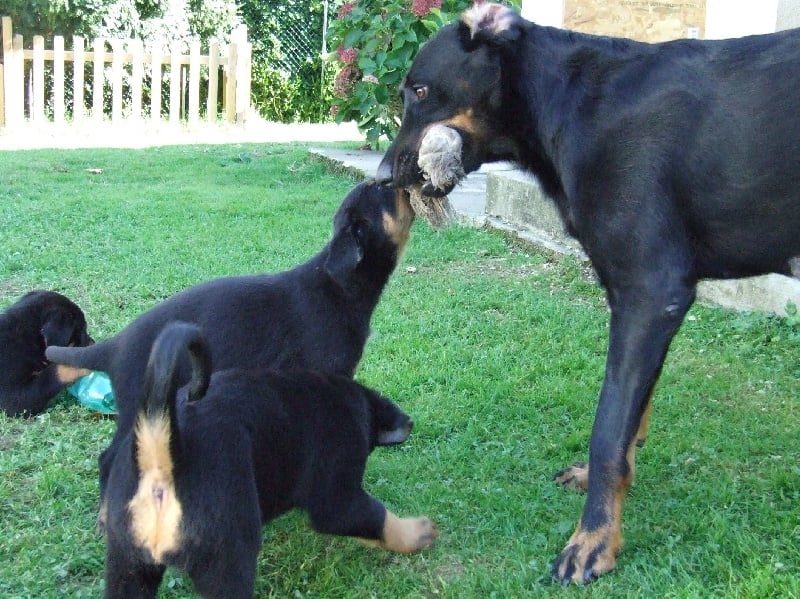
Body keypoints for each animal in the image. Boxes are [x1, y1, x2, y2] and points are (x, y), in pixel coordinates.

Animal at [47, 180, 416, 528]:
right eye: (382, 190)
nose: (401, 178)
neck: (340, 288)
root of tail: (115, 345)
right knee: (108, 458)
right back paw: (106, 516)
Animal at [104, 324, 440, 599]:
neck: (344, 396)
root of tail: (163, 458)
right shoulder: (336, 496)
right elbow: (376, 518)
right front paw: (419, 532)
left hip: (127, 565)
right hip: (228, 557)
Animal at [378, 2, 800, 584]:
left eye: (419, 90)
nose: (381, 177)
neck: (565, 102)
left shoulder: (650, 291)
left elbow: (608, 431)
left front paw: (594, 540)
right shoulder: (641, 300)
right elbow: (632, 419)